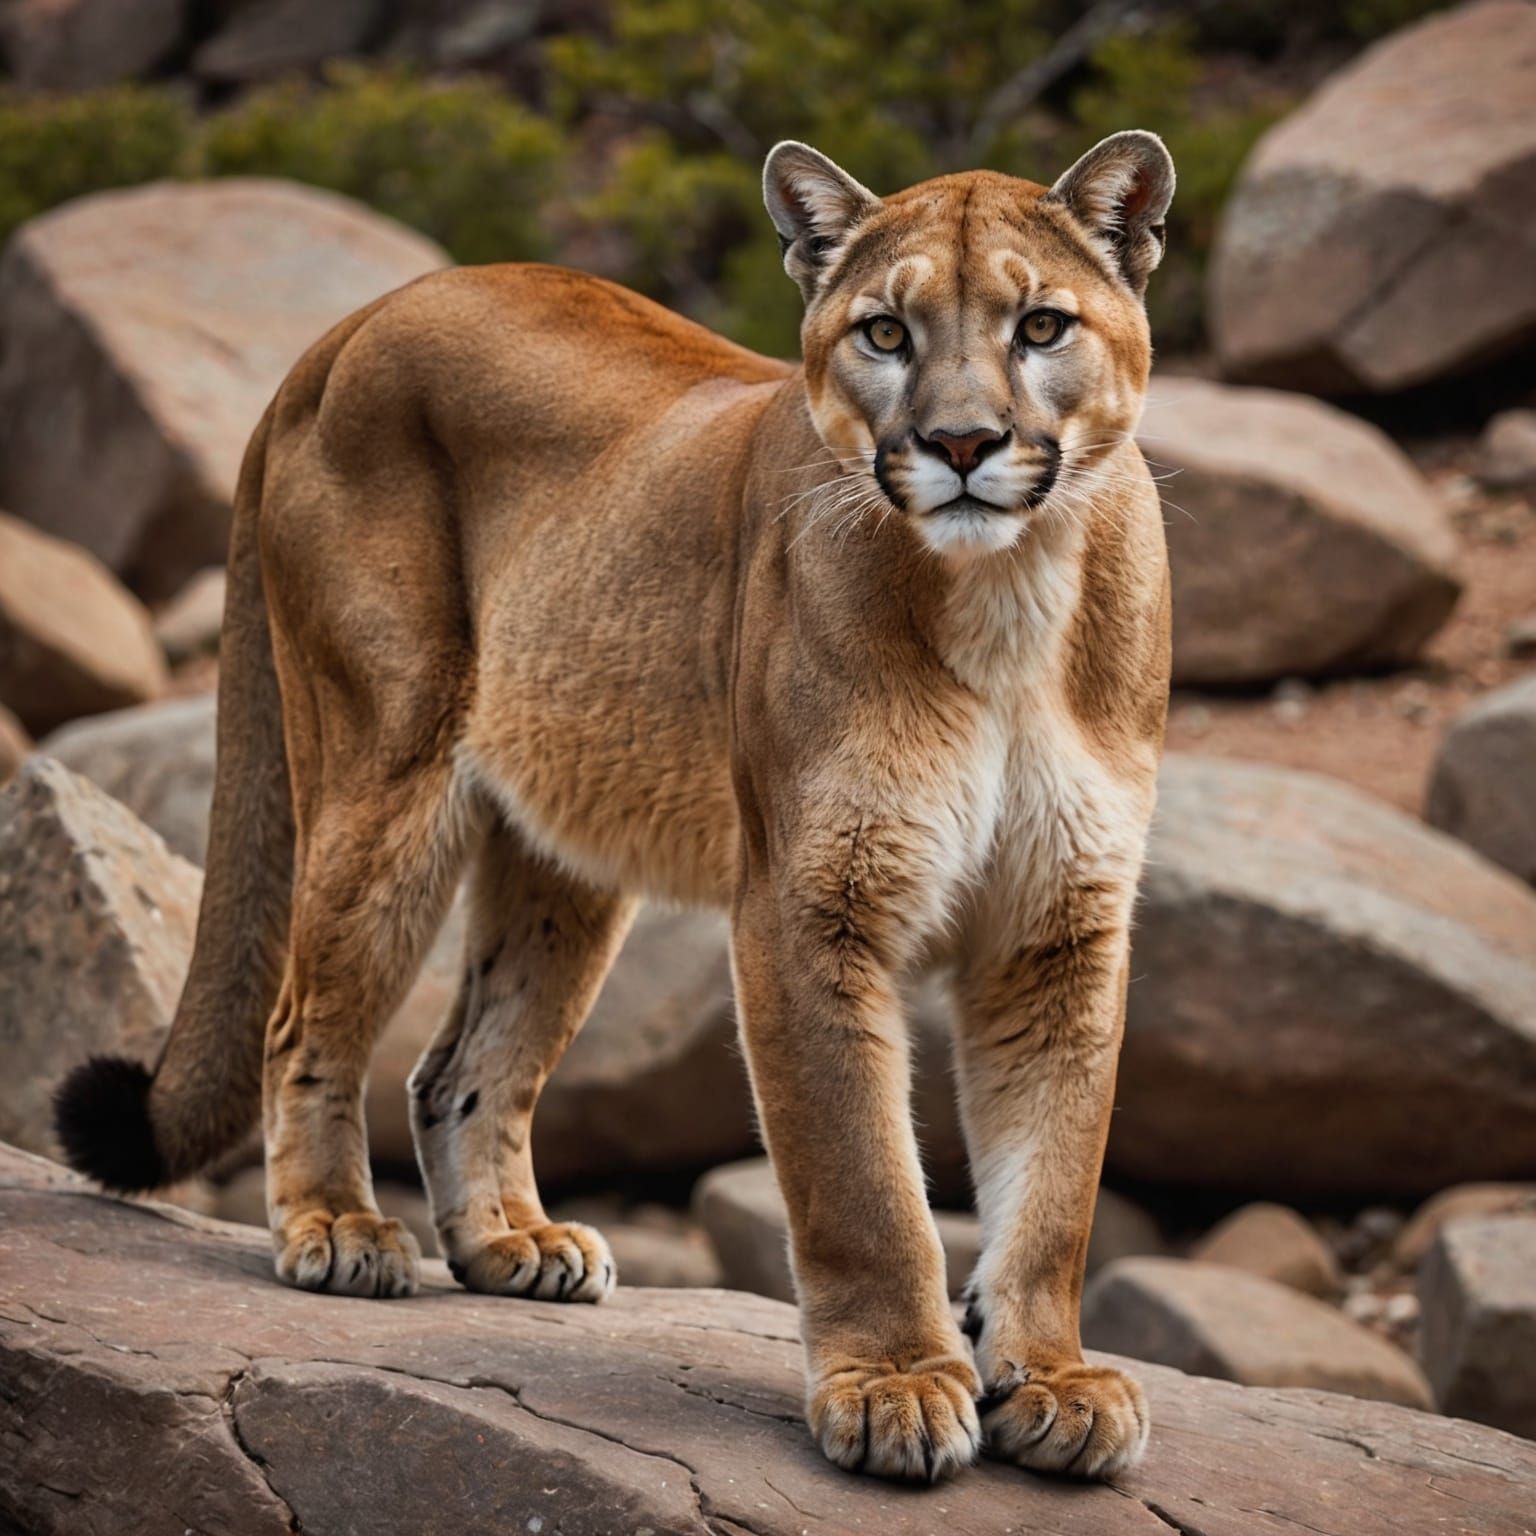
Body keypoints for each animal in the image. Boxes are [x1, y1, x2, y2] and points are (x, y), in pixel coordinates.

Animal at [56, 130, 1175, 1484]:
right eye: (885, 333)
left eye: (1043, 324)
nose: (962, 443)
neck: (1010, 593)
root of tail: (355, 321)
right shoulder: (809, 902)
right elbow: (860, 1176)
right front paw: (896, 1387)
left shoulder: (1060, 923)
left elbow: (1056, 1179)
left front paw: (1052, 1382)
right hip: (384, 770)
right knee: (301, 1023)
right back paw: (338, 1230)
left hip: (564, 855)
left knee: (460, 1064)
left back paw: (512, 1246)